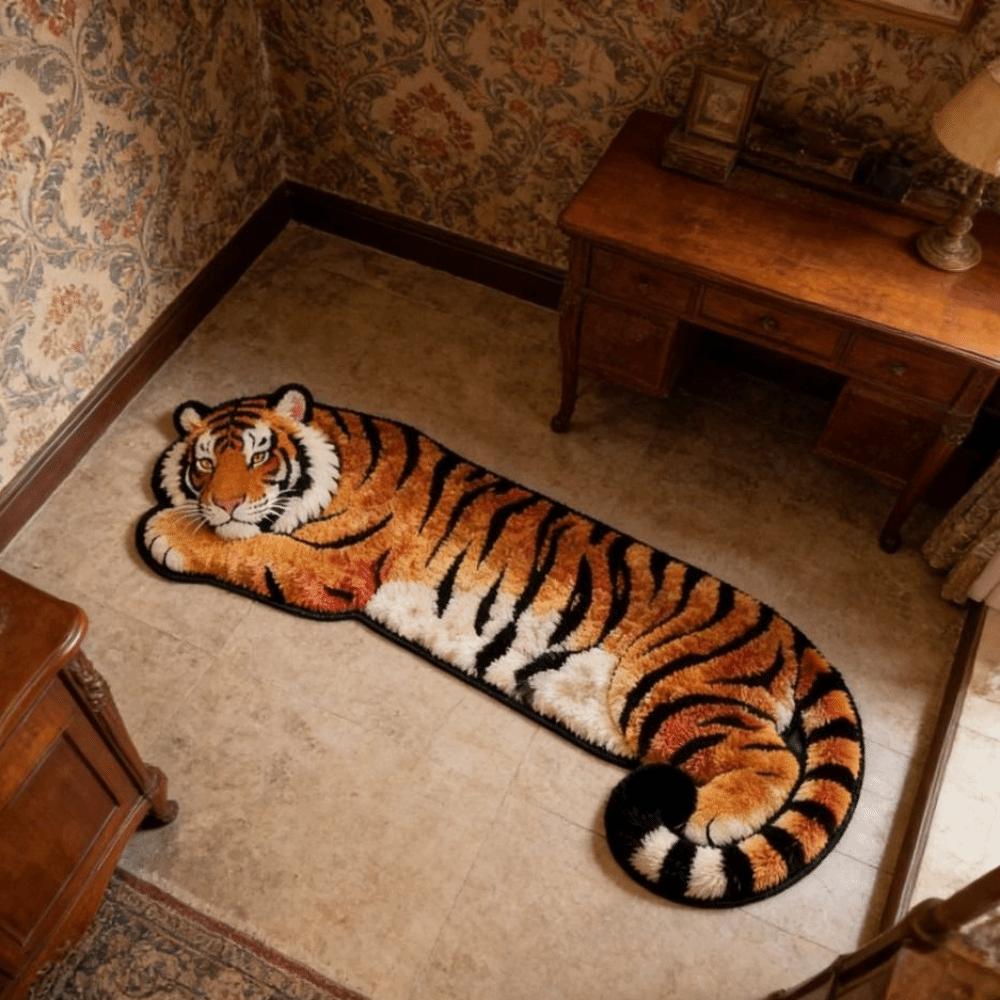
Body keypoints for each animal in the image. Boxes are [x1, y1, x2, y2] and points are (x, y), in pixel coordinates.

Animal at [138, 384, 863, 906]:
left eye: (261, 456)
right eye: (206, 462)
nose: (226, 503)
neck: (335, 456)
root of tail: (795, 637)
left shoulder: (334, 565)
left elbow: (248, 548)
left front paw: (166, 530)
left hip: (673, 686)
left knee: (773, 759)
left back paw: (708, 814)